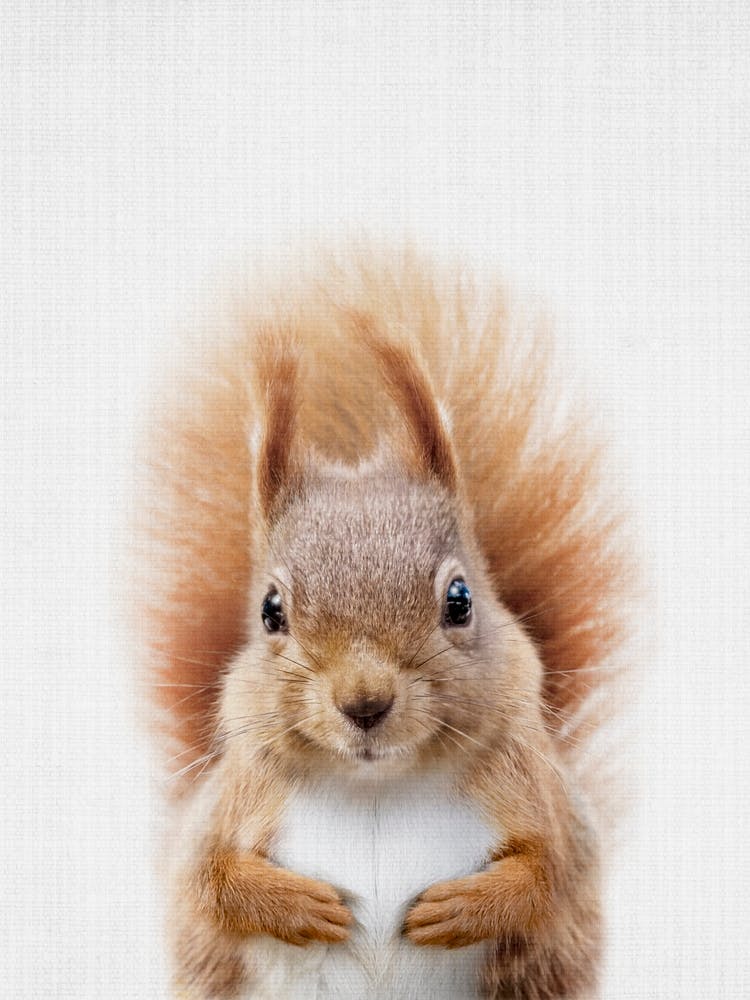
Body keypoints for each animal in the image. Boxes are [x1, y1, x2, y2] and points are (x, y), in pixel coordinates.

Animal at [137, 250, 632, 999]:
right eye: (271, 611)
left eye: (460, 600)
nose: (365, 703)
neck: (377, 788)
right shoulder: (229, 807)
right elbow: (207, 879)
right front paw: (298, 904)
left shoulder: (546, 801)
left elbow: (554, 870)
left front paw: (466, 905)